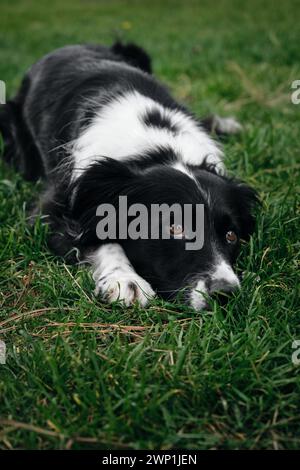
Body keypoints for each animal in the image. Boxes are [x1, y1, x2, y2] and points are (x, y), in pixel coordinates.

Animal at [0, 42, 258, 310]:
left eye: (231, 235)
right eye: (175, 228)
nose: (226, 294)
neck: (158, 149)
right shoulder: (51, 209)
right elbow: (100, 236)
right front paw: (125, 280)